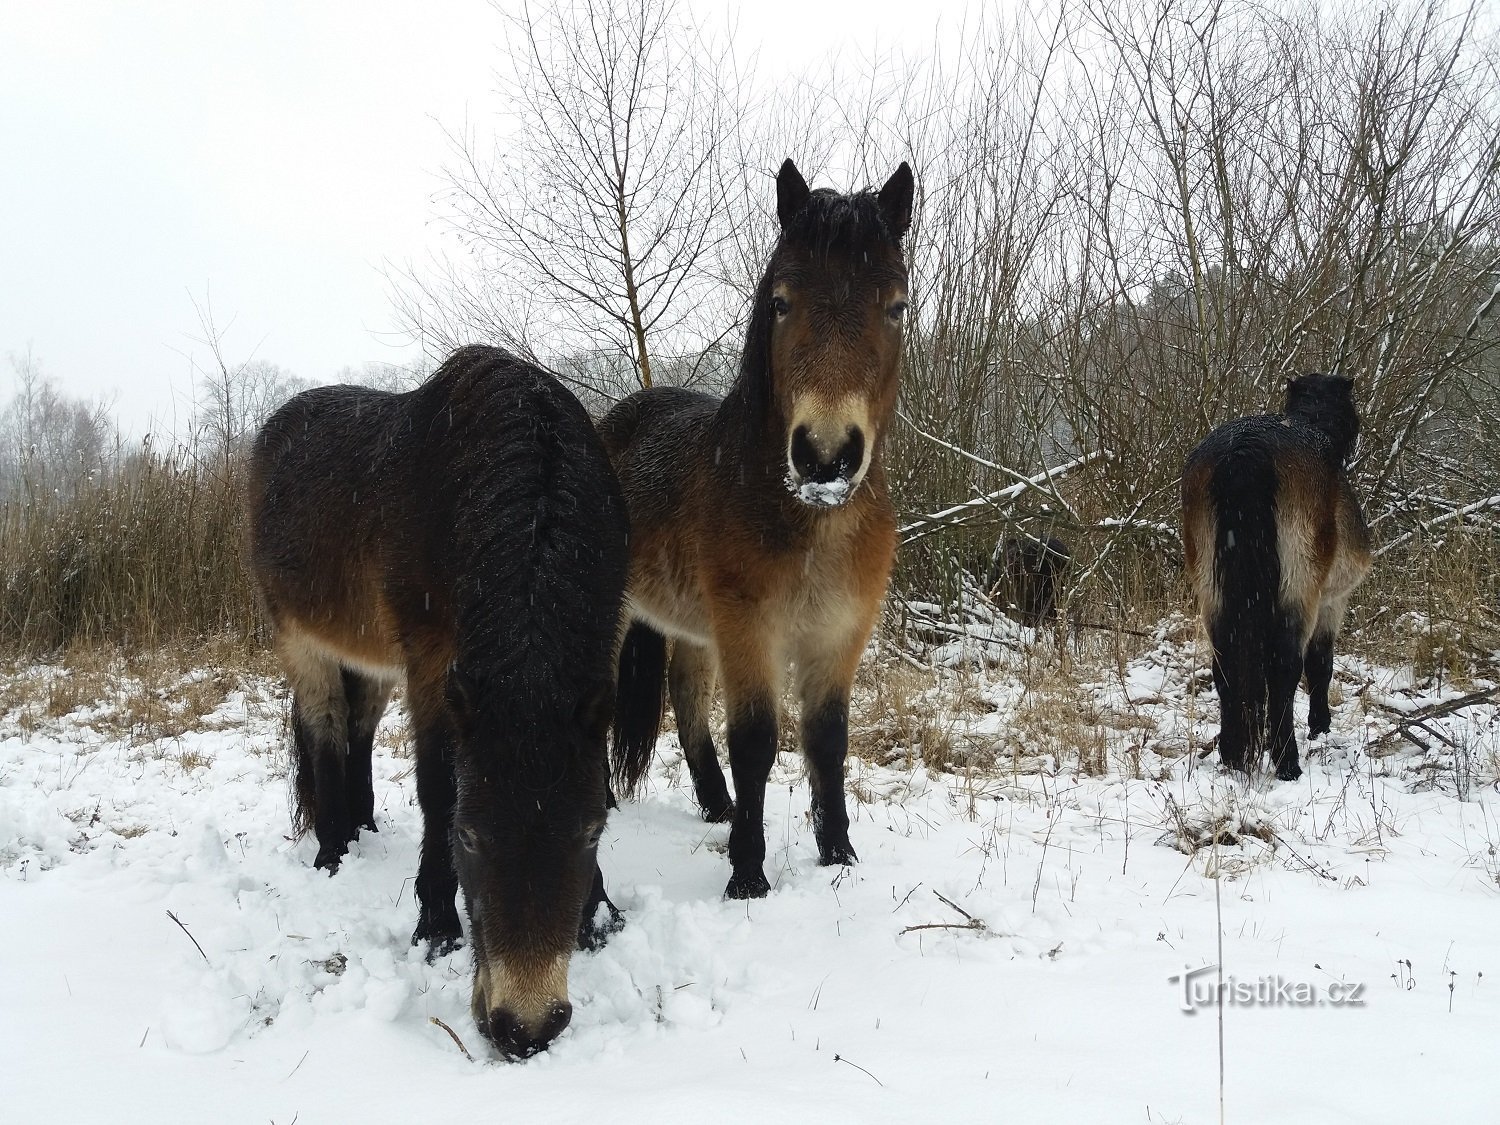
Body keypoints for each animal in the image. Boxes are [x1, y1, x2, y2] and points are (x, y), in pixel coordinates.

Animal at [244, 348, 627, 1062]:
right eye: (469, 836)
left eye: (591, 834)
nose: (527, 1027)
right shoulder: (431, 662)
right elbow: (437, 787)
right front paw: (436, 924)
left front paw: (599, 915)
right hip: (303, 640)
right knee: (324, 728)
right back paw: (332, 851)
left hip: (369, 655)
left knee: (358, 729)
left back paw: (362, 827)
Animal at [597, 159, 912, 906]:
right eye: (781, 302)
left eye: (895, 306)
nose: (825, 456)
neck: (813, 520)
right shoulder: (750, 626)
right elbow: (757, 740)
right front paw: (747, 871)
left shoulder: (839, 632)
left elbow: (827, 740)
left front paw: (839, 855)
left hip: (691, 624)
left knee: (685, 698)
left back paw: (716, 804)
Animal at [1182, 375, 1374, 780]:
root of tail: (1245, 449)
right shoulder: (1333, 601)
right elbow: (1320, 665)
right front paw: (1320, 727)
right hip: (1298, 589)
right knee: (1284, 668)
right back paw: (1287, 761)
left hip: (1213, 591)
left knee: (1224, 667)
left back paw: (1232, 755)